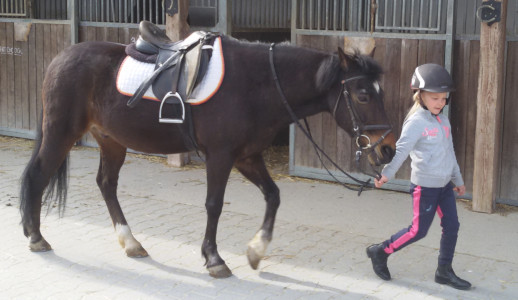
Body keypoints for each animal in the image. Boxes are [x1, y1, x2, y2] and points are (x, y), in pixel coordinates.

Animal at [18, 35, 396, 278]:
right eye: (363, 95)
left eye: (380, 92)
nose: (387, 148)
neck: (255, 84)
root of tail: (60, 58)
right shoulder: (221, 156)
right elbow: (214, 204)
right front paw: (214, 259)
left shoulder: (248, 157)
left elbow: (273, 195)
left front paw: (256, 251)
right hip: (61, 133)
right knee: (37, 176)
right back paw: (36, 237)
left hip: (111, 141)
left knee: (106, 184)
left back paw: (131, 243)